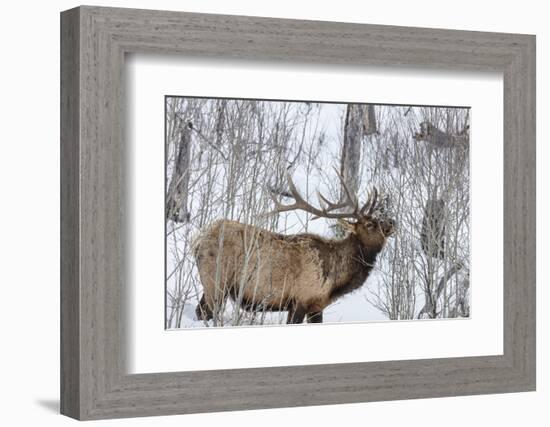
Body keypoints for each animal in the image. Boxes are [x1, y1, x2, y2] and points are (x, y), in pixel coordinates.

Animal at [192, 172, 394, 326]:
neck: (335, 281)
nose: (392, 222)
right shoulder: (300, 298)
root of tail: (199, 240)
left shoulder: (316, 306)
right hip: (216, 281)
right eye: (370, 224)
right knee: (204, 312)